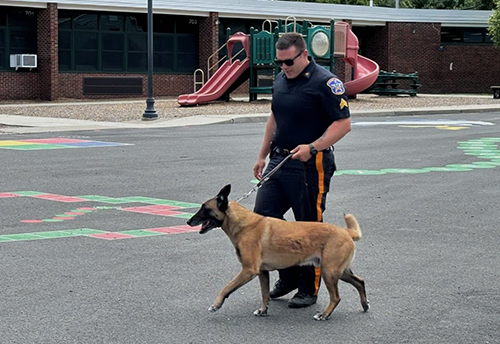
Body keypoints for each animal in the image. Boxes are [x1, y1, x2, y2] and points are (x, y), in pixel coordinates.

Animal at [187, 184, 368, 322]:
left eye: (204, 208)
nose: (188, 221)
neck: (243, 223)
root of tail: (346, 232)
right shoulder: (262, 272)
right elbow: (265, 294)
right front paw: (263, 310)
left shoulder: (248, 271)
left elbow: (226, 288)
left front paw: (216, 305)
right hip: (338, 272)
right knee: (360, 282)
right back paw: (365, 304)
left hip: (329, 272)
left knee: (336, 297)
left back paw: (324, 314)